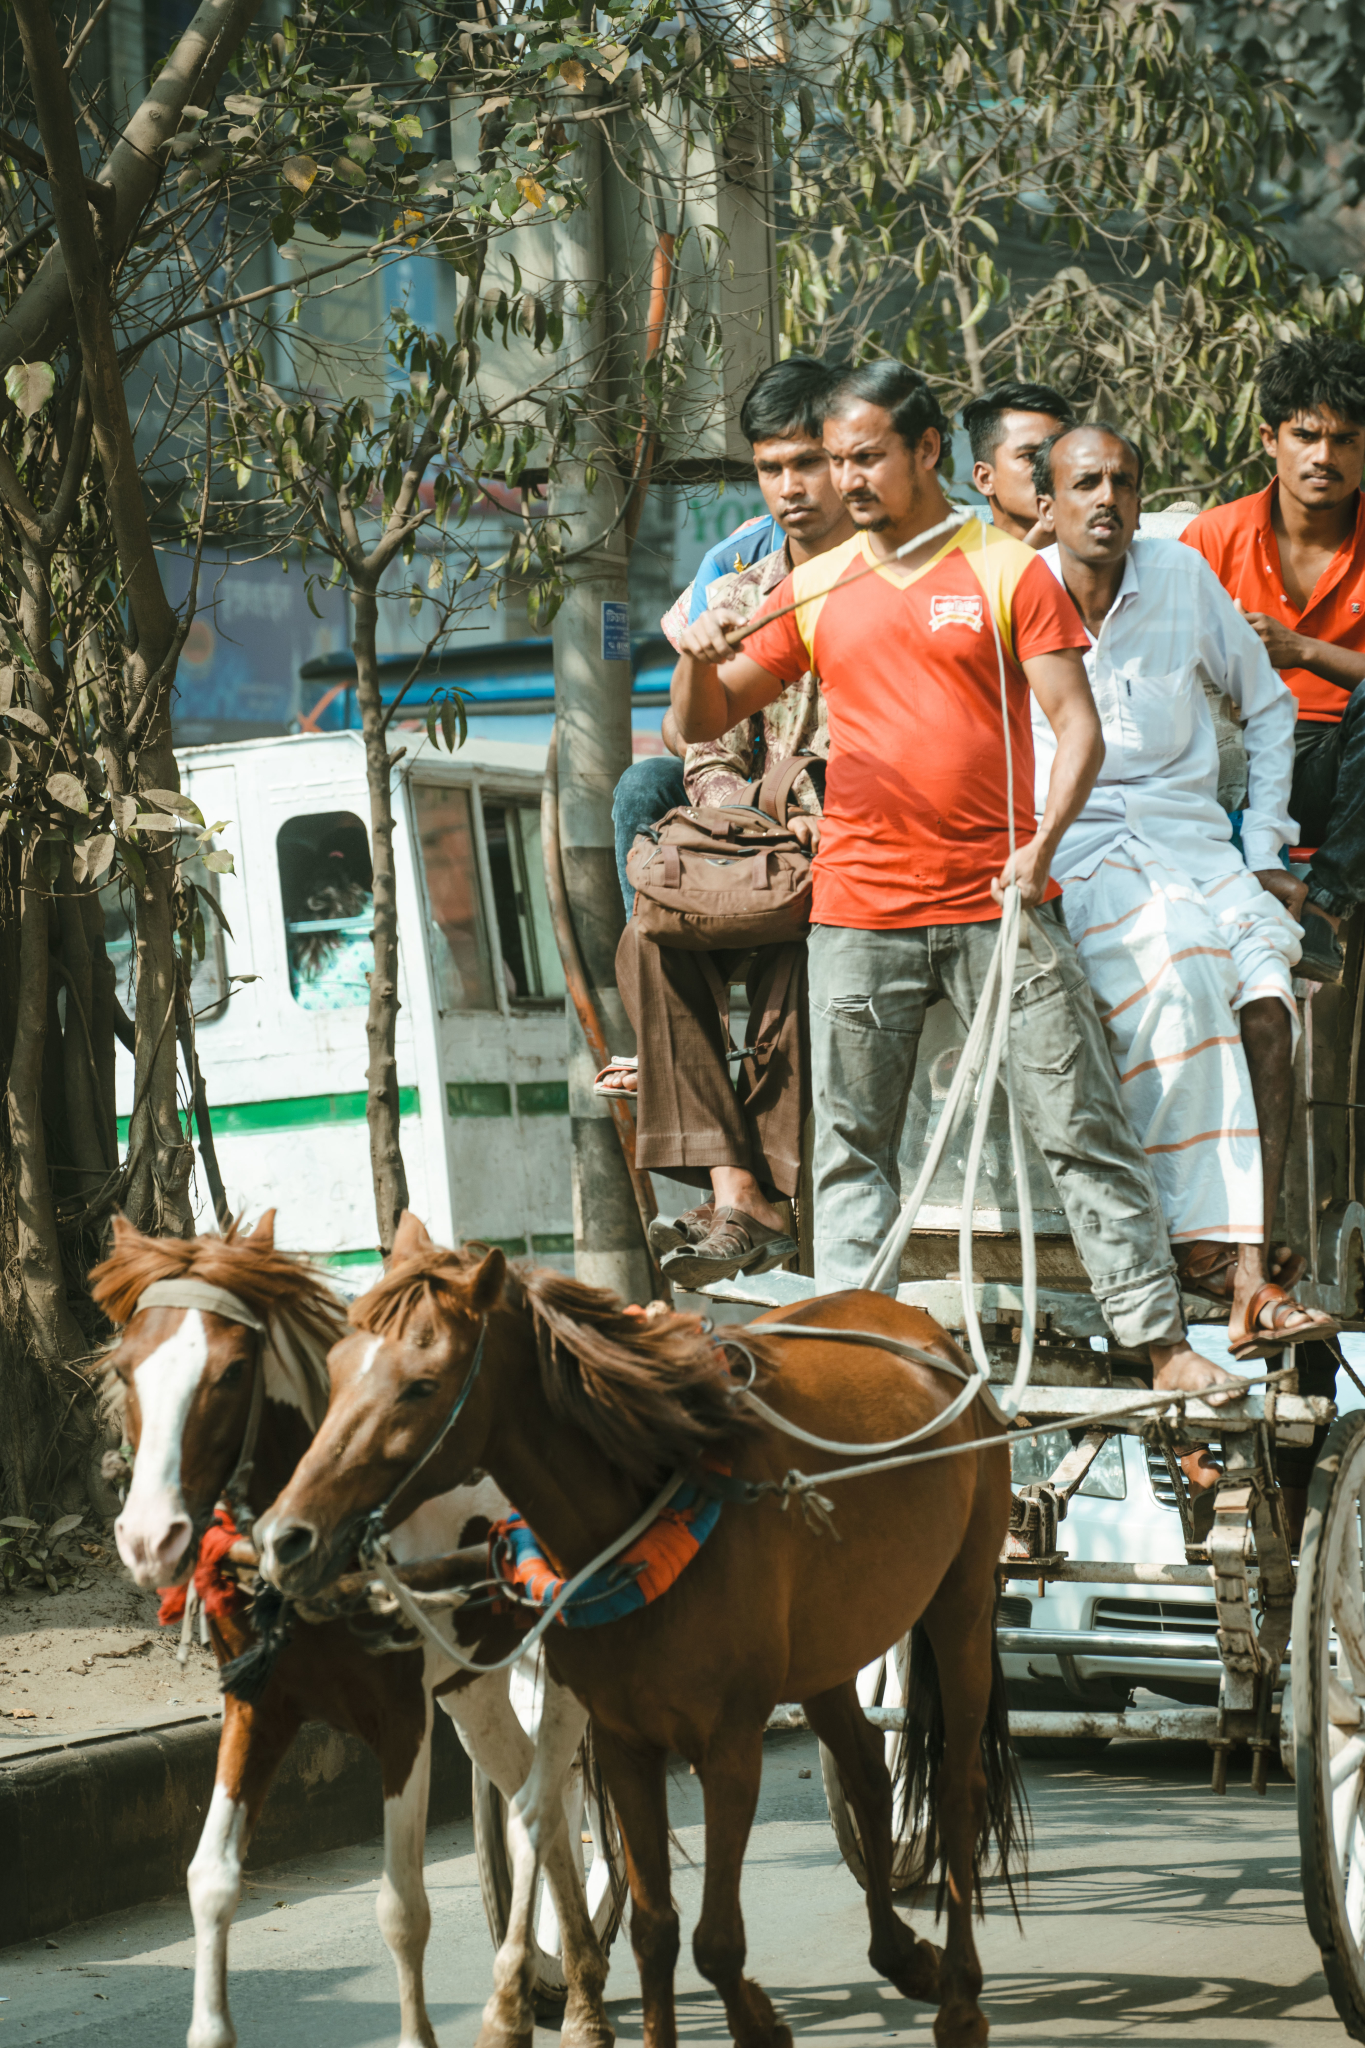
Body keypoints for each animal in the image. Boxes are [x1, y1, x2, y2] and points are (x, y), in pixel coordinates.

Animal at [93, 1212, 609, 2048]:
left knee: (547, 1793)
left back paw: (559, 1990)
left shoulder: (400, 1720)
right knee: (536, 1798)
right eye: (126, 1365)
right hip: (472, 1688)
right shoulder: (259, 1705)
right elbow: (210, 1880)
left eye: (231, 1373)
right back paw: (561, 1973)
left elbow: (402, 1908)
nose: (148, 1537)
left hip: (564, 1663)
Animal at [253, 1212, 1023, 2048]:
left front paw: (757, 2023)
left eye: (422, 1385)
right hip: (828, 1650)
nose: (285, 1537)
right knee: (865, 1775)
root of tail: (931, 1334)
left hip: (961, 1604)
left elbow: (716, 1941)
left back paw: (961, 1998)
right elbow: (654, 1929)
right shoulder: (625, 1742)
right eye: (334, 1370)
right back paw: (901, 1955)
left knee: (957, 1789)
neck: (640, 1508)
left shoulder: (729, 1746)